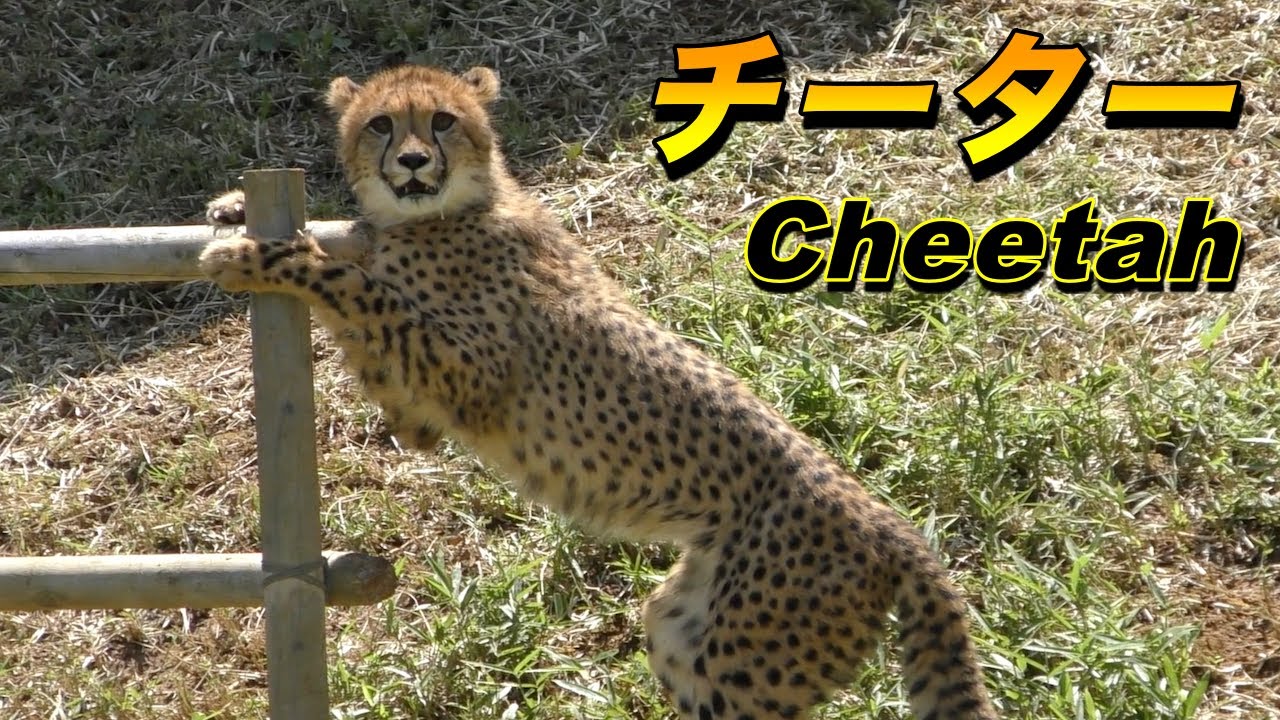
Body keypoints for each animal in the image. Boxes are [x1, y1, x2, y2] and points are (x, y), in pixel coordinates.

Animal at [200, 64, 1000, 720]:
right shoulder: (421, 414)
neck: (447, 210)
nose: (414, 160)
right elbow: (362, 305)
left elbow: (354, 285)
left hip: (755, 661)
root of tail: (895, 529)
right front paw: (237, 208)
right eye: (381, 124)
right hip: (690, 626)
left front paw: (262, 253)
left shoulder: (466, 372)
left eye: (443, 121)